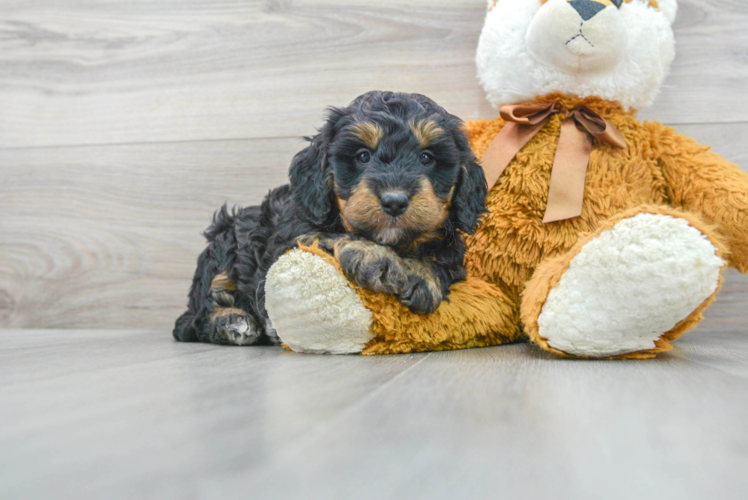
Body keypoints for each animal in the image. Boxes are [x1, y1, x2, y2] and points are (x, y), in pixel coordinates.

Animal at [175, 92, 490, 346]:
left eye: (426, 158)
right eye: (363, 156)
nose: (394, 200)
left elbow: (443, 258)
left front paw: (423, 275)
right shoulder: (290, 237)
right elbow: (331, 235)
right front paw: (374, 255)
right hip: (225, 244)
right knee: (197, 316)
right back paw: (231, 323)